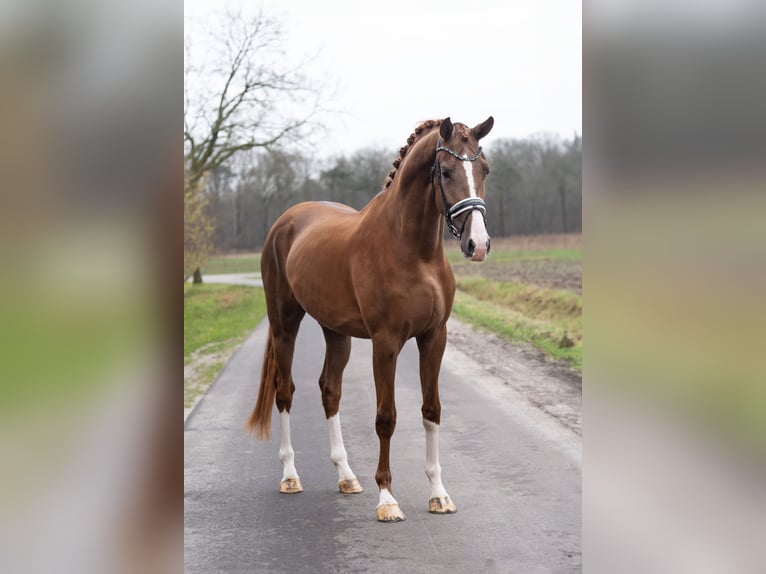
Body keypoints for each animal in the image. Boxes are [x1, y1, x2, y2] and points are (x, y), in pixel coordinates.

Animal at [249, 116, 496, 520]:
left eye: (484, 169)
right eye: (445, 171)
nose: (477, 245)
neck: (413, 251)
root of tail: (285, 222)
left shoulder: (434, 338)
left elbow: (431, 410)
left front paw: (439, 494)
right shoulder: (386, 343)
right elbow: (386, 417)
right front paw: (387, 499)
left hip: (336, 333)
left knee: (330, 391)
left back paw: (347, 477)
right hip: (285, 324)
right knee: (284, 391)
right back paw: (290, 476)